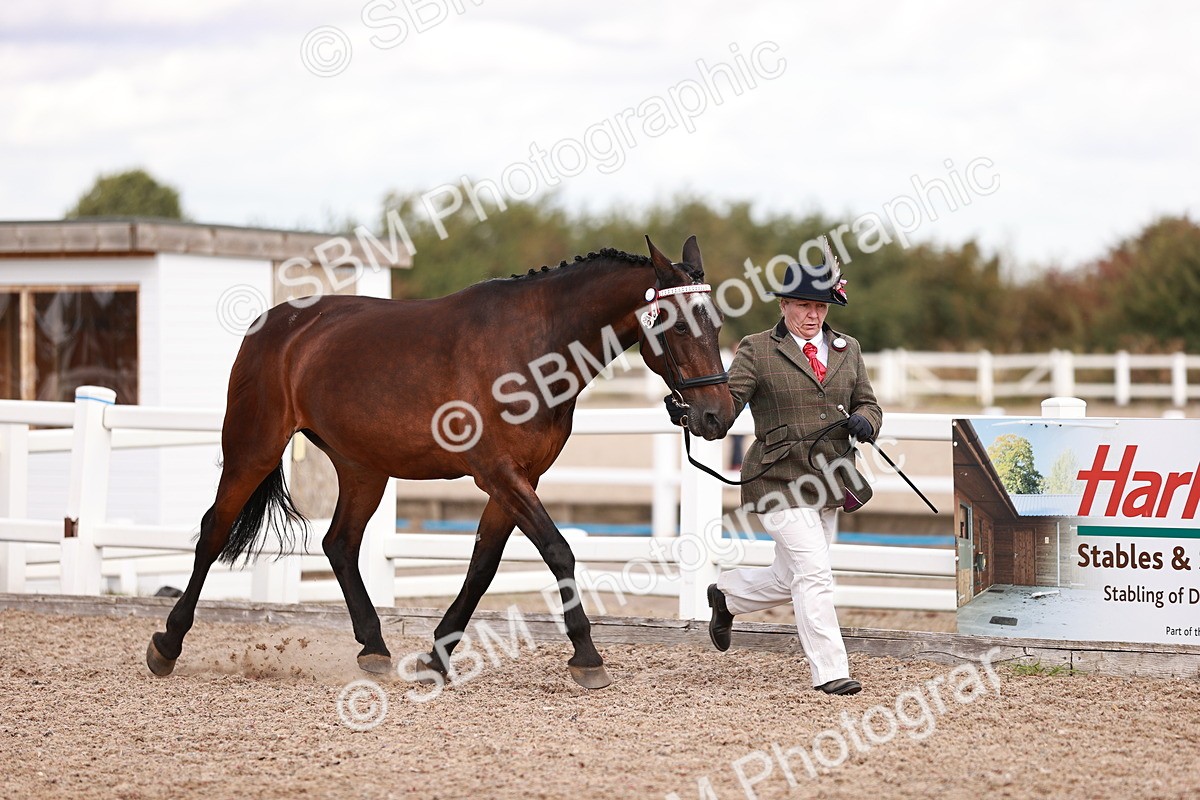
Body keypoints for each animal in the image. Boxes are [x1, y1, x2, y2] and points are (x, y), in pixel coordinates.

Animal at [145, 235, 736, 689]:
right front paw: (587, 658)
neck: (532, 346)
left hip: (363, 468)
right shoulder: (500, 474)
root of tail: (276, 323)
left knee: (339, 544)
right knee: (214, 531)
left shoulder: (517, 479)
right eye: (678, 326)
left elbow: (482, 567)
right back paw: (167, 644)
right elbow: (558, 552)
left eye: (718, 325)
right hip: (252, 447)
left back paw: (374, 649)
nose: (717, 416)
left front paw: (436, 656)